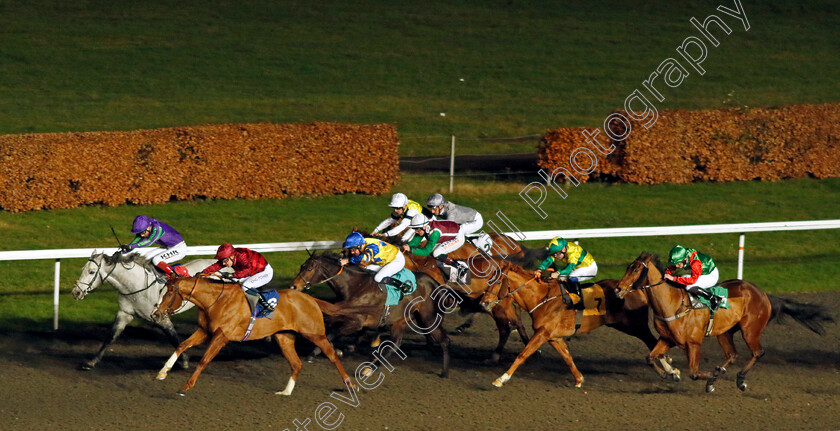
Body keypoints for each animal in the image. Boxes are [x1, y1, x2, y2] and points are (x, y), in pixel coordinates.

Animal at [71, 253, 217, 372]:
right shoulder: (125, 313)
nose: (76, 292)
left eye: (91, 272)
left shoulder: (161, 318)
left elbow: (174, 338)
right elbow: (110, 337)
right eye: (82, 269)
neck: (137, 285)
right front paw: (91, 362)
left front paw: (184, 361)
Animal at [153, 278, 356, 396]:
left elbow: (204, 360)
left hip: (315, 334)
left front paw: (186, 386)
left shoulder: (221, 336)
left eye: (169, 293)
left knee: (332, 355)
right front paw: (162, 372)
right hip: (284, 338)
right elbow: (181, 346)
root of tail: (311, 299)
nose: (156, 314)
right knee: (296, 364)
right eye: (161, 292)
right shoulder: (204, 331)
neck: (215, 301)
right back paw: (285, 392)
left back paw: (351, 385)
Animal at [476, 264, 680, 388]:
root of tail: (632, 288)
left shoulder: (542, 333)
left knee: (653, 341)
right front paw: (579, 379)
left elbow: (522, 355)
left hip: (634, 325)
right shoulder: (554, 337)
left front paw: (501, 379)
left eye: (496, 282)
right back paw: (670, 368)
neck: (542, 299)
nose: (483, 303)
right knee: (653, 343)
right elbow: (567, 357)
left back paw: (671, 369)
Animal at [612, 251, 832, 394]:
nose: (618, 289)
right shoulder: (667, 339)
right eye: (627, 267)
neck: (672, 304)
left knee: (758, 352)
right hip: (725, 332)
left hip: (750, 330)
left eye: (636, 270)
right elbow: (650, 357)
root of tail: (763, 294)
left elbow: (694, 372)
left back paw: (740, 380)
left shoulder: (693, 343)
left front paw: (708, 377)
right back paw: (721, 371)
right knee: (732, 354)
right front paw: (671, 375)